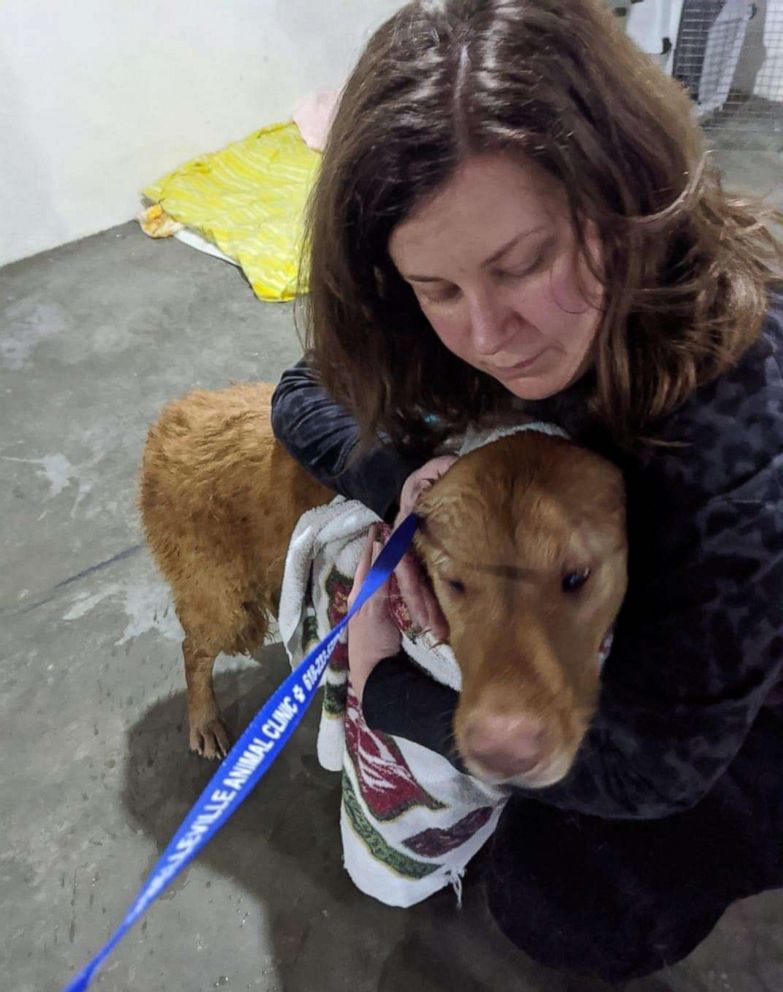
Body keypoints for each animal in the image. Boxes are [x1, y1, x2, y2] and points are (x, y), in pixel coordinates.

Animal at [141, 382, 628, 792]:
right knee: (193, 651)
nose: (504, 752)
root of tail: (173, 416)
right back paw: (204, 722)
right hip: (219, 601)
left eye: (577, 577)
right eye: (455, 583)